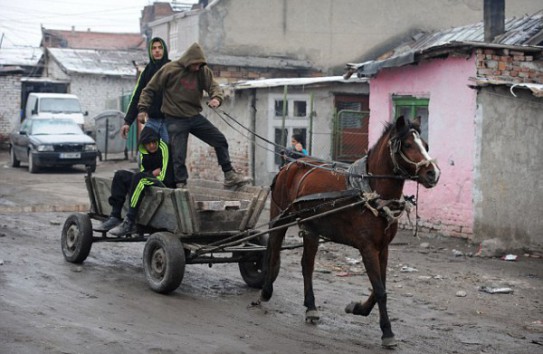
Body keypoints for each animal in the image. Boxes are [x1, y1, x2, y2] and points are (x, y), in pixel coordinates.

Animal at [258, 115, 440, 348]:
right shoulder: (367, 248)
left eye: (425, 145)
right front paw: (387, 332)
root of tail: (288, 165)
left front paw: (357, 308)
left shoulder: (383, 248)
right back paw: (265, 290)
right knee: (273, 245)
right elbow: (380, 290)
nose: (433, 173)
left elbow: (380, 287)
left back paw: (311, 307)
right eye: (408, 145)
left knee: (307, 265)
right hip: (281, 216)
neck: (370, 192)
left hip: (311, 229)